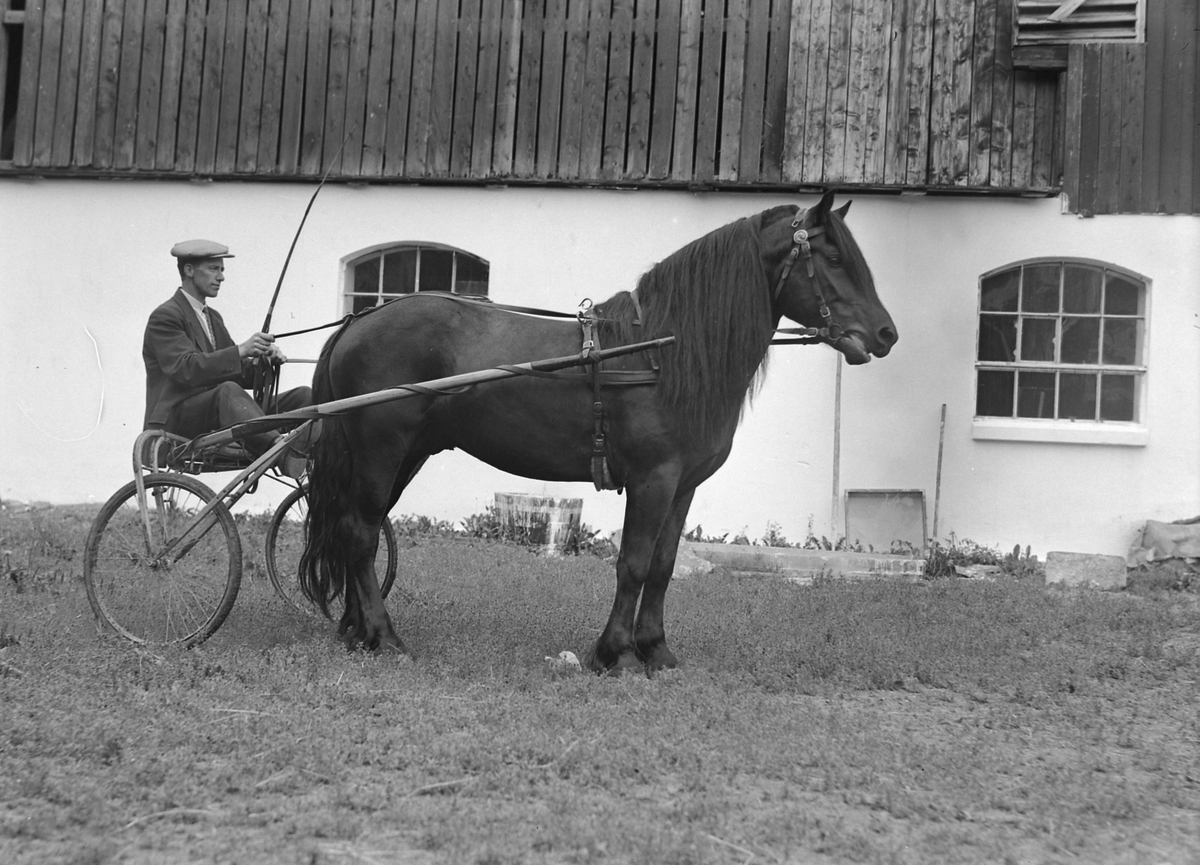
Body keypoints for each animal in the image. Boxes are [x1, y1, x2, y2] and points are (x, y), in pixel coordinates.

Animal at [300, 191, 897, 671]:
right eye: (835, 258)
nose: (886, 334)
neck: (661, 352)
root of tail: (358, 322)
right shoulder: (653, 480)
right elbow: (632, 564)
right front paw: (616, 654)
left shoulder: (682, 486)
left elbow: (662, 566)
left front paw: (657, 650)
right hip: (381, 451)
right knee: (360, 533)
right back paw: (384, 636)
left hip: (404, 456)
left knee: (358, 529)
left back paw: (356, 631)